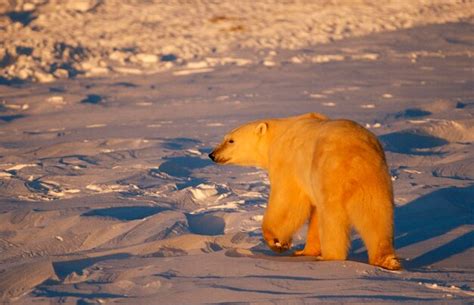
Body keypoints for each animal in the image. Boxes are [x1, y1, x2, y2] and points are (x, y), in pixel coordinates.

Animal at [210, 113, 400, 270]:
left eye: (230, 140)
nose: (212, 154)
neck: (277, 134)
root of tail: (357, 157)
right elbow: (313, 212)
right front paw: (305, 251)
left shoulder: (287, 162)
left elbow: (287, 202)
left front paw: (277, 242)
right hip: (375, 181)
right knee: (376, 216)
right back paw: (386, 260)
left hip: (329, 175)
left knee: (332, 218)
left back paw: (330, 257)